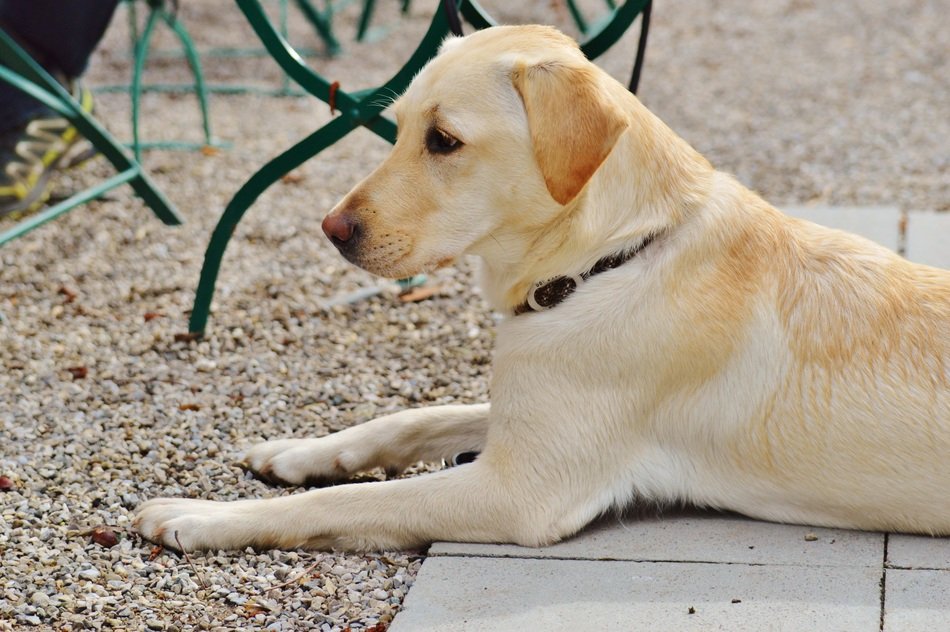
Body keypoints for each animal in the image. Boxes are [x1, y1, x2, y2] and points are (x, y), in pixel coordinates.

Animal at [136, 24, 950, 552]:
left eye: (444, 141)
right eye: (397, 128)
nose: (332, 229)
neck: (611, 258)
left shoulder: (518, 489)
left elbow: (353, 501)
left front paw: (202, 516)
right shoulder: (521, 412)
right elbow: (413, 418)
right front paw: (304, 452)